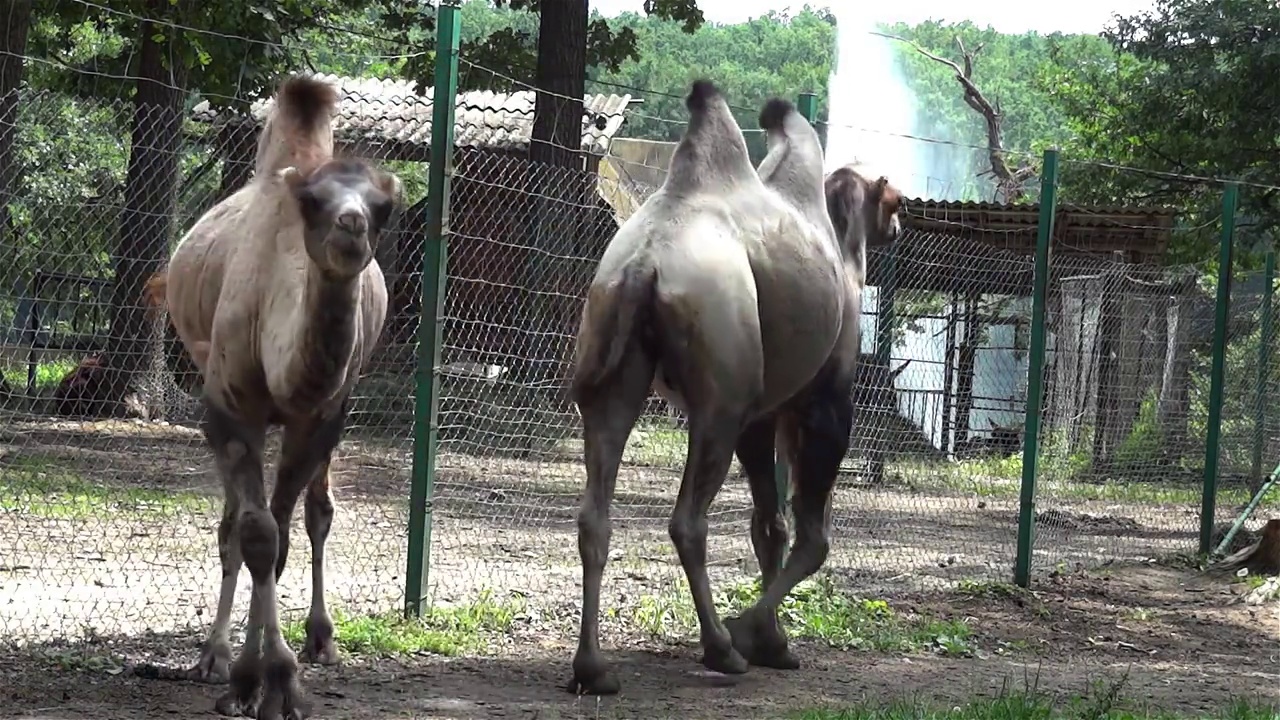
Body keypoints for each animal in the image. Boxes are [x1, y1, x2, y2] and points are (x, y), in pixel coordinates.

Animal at [141, 75, 399, 712]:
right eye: (312, 202)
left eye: (385, 206)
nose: (352, 226)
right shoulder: (231, 409)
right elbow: (255, 535)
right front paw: (251, 678)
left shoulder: (319, 417)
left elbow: (280, 538)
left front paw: (272, 679)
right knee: (232, 524)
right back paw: (212, 656)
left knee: (314, 513)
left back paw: (321, 640)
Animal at [565, 81, 906, 691]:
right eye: (895, 201)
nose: (902, 222)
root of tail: (644, 265)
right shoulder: (823, 398)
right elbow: (813, 538)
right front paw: (757, 633)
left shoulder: (764, 414)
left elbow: (768, 525)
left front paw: (773, 640)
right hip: (719, 396)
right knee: (687, 521)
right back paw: (721, 648)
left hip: (613, 376)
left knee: (594, 515)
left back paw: (594, 668)